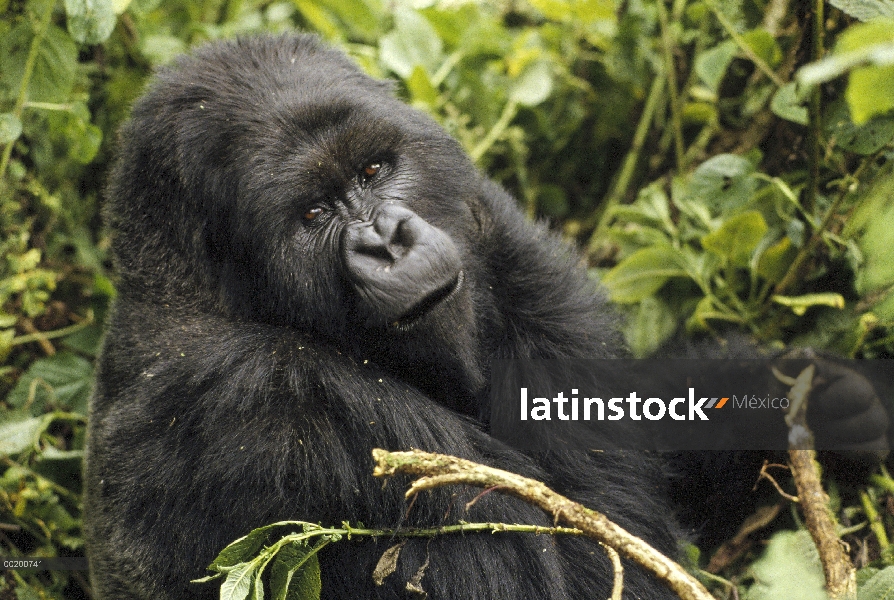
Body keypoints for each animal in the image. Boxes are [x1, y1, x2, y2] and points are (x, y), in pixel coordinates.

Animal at [84, 34, 888, 600]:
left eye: (374, 170)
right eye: (312, 215)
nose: (387, 241)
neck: (196, 286)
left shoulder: (494, 226)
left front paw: (796, 398)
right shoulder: (271, 399)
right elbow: (615, 572)